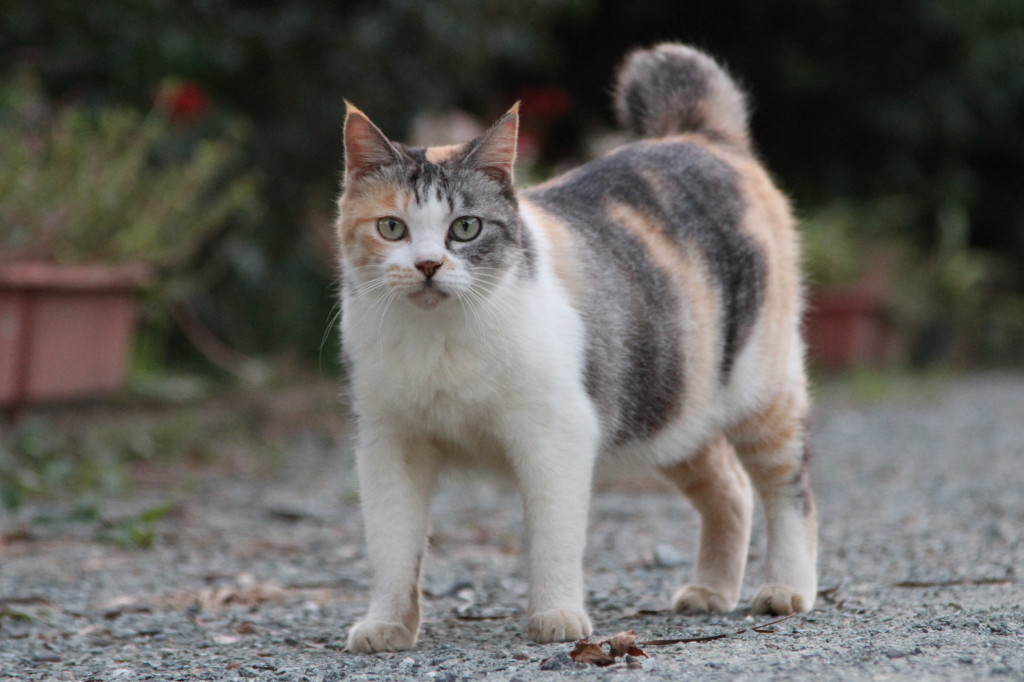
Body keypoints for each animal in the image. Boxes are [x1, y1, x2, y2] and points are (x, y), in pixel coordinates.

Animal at [339, 43, 819, 655]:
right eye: (392, 228)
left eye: (465, 228)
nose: (427, 265)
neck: (439, 342)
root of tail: (699, 136)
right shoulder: (389, 445)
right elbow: (392, 545)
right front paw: (388, 625)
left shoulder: (556, 437)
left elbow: (554, 539)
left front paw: (557, 616)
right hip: (670, 408)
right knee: (731, 490)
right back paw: (711, 592)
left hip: (762, 389)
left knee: (788, 487)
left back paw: (786, 589)